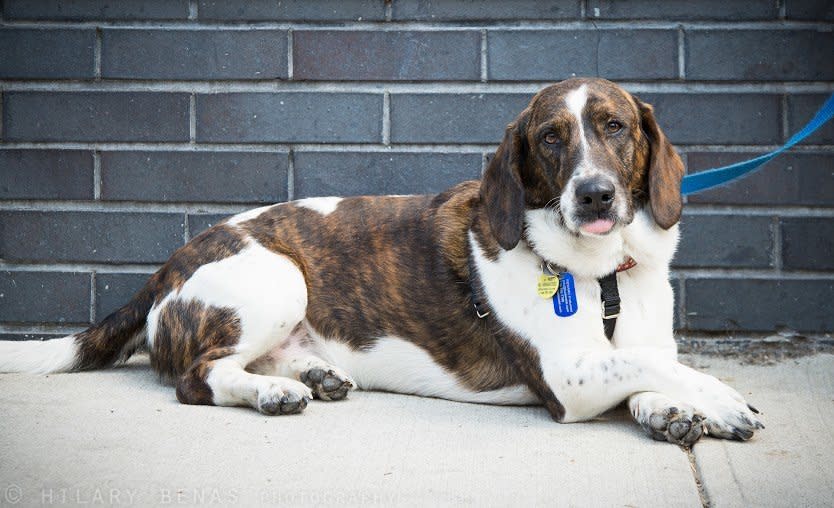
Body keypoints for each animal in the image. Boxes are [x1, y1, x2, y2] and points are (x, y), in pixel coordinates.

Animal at [0, 76, 760, 444]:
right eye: (550, 138)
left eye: (615, 127)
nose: (595, 193)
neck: (604, 274)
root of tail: (165, 269)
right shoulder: (566, 380)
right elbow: (656, 367)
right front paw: (722, 400)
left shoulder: (618, 353)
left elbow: (648, 368)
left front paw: (675, 413)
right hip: (278, 278)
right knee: (198, 377)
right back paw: (274, 395)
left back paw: (310, 376)